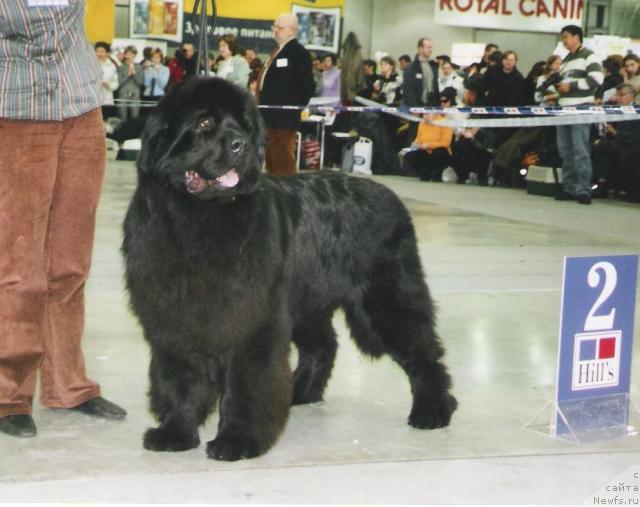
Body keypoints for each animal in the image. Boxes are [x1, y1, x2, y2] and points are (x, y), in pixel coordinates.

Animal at [122, 77, 458, 462]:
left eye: (245, 126)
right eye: (204, 122)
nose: (240, 145)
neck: (199, 219)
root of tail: (390, 195)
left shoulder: (253, 317)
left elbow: (246, 384)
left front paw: (237, 440)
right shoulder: (173, 319)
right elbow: (180, 379)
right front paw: (175, 432)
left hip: (385, 300)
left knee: (423, 352)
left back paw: (433, 410)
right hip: (306, 299)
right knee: (323, 346)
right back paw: (300, 392)